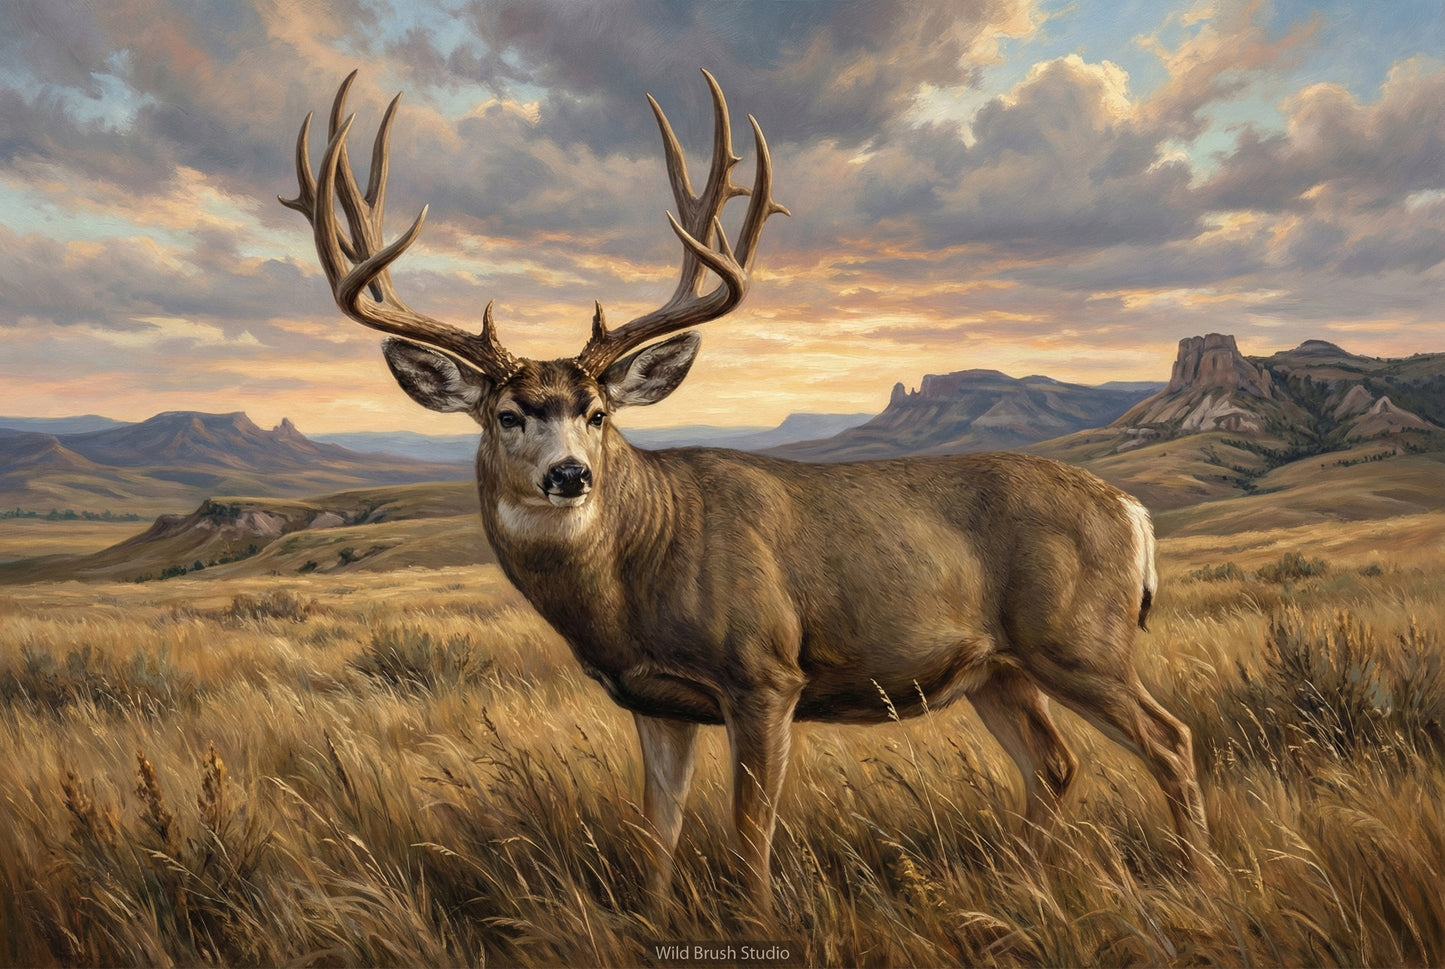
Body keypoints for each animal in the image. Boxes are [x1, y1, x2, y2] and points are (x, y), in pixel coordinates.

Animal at [282, 69, 1212, 911]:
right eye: (507, 414)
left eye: (596, 412)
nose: (570, 474)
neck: (637, 574)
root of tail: (1131, 510)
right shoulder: (655, 700)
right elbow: (655, 832)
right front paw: (653, 919)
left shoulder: (764, 673)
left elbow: (747, 832)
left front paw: (757, 919)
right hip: (996, 668)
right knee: (1054, 764)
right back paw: (1022, 884)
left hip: (1076, 639)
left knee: (1169, 739)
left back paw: (1195, 877)